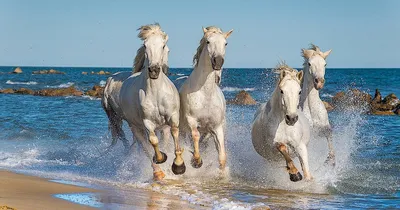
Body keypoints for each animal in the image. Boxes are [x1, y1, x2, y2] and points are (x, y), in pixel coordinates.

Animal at [112, 23, 184, 180]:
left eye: (164, 46)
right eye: (145, 45)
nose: (154, 70)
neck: (156, 93)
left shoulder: (172, 118)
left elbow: (175, 134)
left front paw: (179, 166)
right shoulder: (147, 122)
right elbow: (153, 142)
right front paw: (161, 159)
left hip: (162, 128)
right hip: (135, 127)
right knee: (145, 146)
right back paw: (158, 172)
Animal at [180, 26, 233, 171]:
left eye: (226, 43)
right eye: (208, 41)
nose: (218, 61)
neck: (205, 94)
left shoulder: (216, 128)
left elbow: (222, 157)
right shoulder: (191, 121)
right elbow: (195, 136)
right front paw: (196, 161)